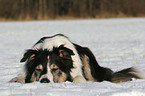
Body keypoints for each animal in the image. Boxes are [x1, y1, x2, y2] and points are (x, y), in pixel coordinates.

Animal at [9, 34, 144, 83]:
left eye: (55, 69)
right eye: (38, 69)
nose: (44, 82)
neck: (49, 47)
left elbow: (78, 79)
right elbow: (20, 78)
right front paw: (16, 80)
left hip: (87, 58)